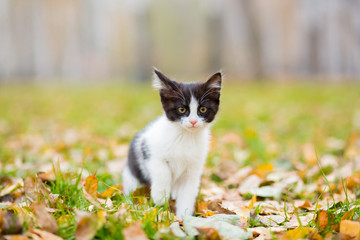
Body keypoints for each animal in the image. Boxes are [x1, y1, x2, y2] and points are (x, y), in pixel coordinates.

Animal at [122, 69, 221, 219]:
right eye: (181, 109)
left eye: (202, 109)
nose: (193, 121)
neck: (185, 137)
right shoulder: (148, 148)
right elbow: (162, 171)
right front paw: (160, 197)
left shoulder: (194, 168)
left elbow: (188, 192)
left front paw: (183, 217)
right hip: (131, 177)